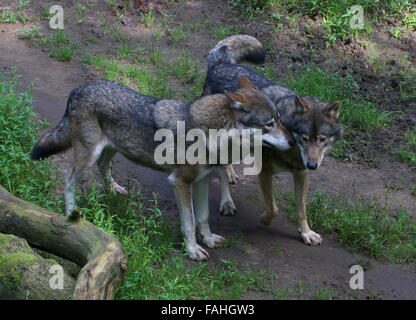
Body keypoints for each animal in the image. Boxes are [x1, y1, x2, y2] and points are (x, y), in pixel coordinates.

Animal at [31, 77, 292, 260]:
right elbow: (189, 222)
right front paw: (193, 250)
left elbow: (203, 216)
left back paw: (114, 190)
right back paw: (70, 215)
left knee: (103, 168)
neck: (211, 134)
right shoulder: (179, 182)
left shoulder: (202, 180)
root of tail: (79, 89)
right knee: (69, 183)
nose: (293, 141)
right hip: (88, 156)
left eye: (280, 118)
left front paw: (207, 239)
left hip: (111, 150)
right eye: (270, 124)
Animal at [203, 35, 342, 245]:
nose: (312, 165)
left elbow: (301, 210)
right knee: (221, 172)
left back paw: (231, 174)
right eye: (304, 138)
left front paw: (306, 233)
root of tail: (221, 64)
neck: (292, 151)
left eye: (322, 139)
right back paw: (227, 201)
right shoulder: (265, 172)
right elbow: (273, 208)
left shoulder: (302, 175)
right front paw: (264, 219)